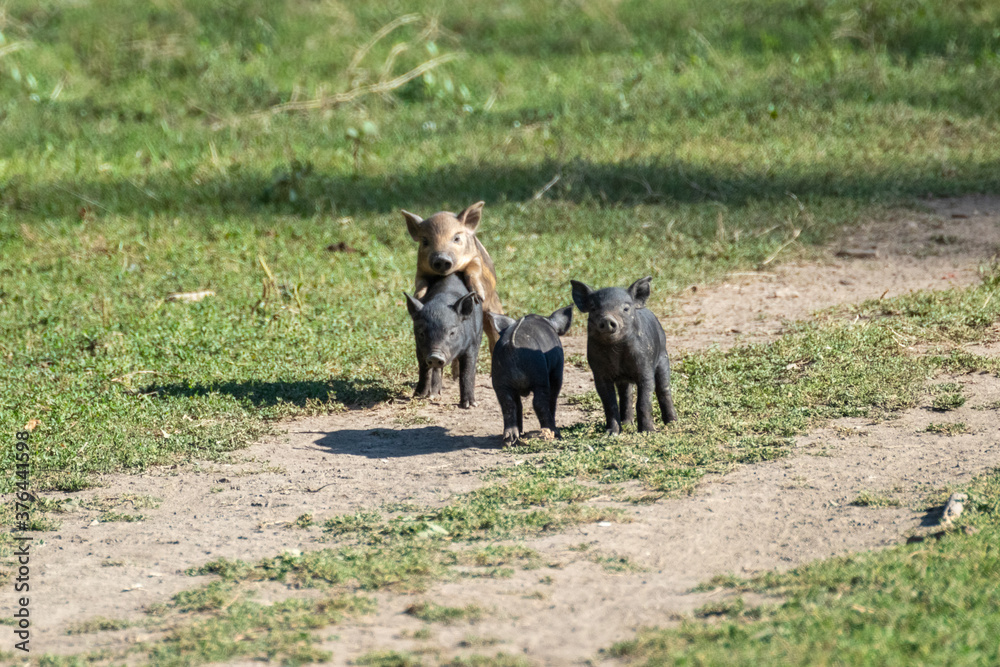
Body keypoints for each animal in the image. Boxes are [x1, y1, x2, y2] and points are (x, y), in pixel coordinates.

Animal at [401, 201, 504, 353]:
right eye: (425, 241)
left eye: (456, 238)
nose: (441, 258)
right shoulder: (420, 269)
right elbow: (420, 282)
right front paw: (419, 297)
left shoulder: (475, 258)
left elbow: (474, 270)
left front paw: (478, 296)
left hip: (494, 307)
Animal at [404, 273, 483, 409]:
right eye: (421, 333)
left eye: (452, 333)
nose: (435, 356)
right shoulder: (419, 349)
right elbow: (424, 370)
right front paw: (418, 396)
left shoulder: (471, 345)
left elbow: (467, 372)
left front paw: (469, 405)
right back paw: (434, 395)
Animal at [487, 306, 573, 445]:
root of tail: (512, 347)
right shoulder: (557, 370)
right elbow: (553, 396)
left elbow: (518, 404)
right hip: (539, 376)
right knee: (539, 402)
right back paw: (554, 432)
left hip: (499, 380)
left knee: (508, 404)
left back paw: (510, 439)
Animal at [570, 276, 678, 435]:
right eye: (593, 308)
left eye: (626, 308)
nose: (607, 319)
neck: (617, 352)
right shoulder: (599, 373)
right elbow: (609, 404)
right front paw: (611, 433)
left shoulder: (645, 367)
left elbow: (643, 401)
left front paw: (647, 432)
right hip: (624, 380)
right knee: (626, 394)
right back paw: (627, 424)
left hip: (663, 358)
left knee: (663, 389)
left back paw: (672, 423)